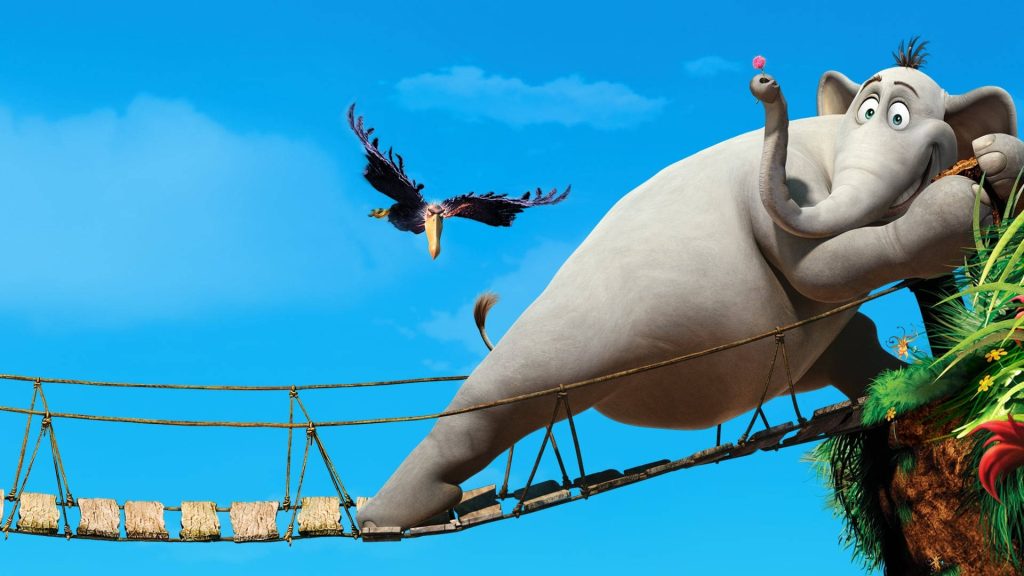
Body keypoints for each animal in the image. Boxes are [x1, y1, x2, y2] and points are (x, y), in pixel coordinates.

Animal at [357, 51, 1024, 530]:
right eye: (868, 111)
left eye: (899, 118)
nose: (763, 83)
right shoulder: (797, 183)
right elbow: (820, 269)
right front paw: (953, 207)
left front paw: (997, 162)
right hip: (569, 332)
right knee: (499, 398)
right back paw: (393, 512)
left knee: (851, 345)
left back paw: (913, 384)